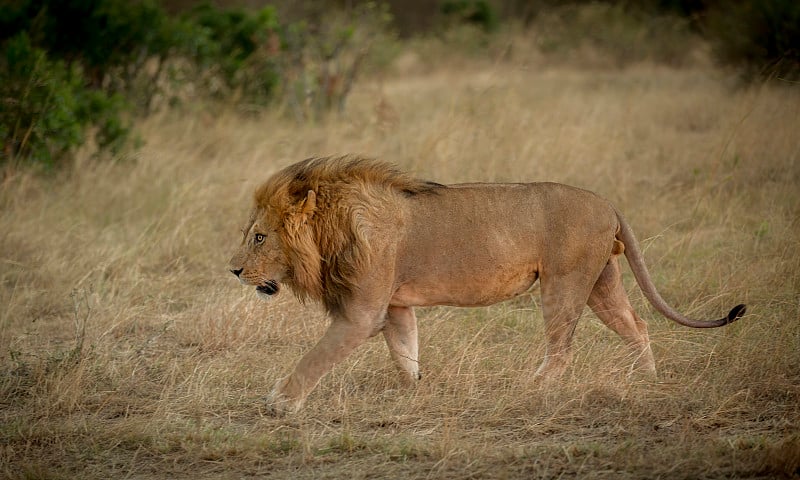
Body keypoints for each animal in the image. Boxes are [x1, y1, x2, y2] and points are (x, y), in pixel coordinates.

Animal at [228, 155, 748, 412]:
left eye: (259, 236)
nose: (233, 269)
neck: (332, 229)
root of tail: (608, 203)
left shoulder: (361, 314)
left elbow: (313, 359)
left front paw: (279, 404)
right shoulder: (395, 306)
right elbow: (405, 351)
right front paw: (415, 391)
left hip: (562, 283)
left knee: (562, 348)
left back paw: (532, 389)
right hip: (602, 281)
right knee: (636, 325)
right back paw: (647, 379)